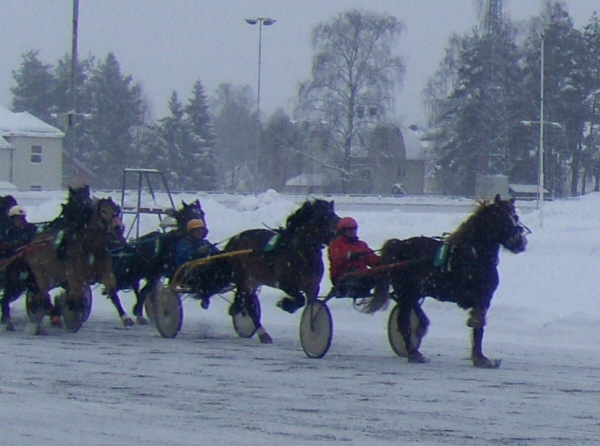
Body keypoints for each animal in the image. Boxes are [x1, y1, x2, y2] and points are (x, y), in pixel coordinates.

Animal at [21, 186, 123, 332]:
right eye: (104, 211)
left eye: (117, 210)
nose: (119, 228)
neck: (90, 246)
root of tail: (33, 241)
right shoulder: (74, 275)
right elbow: (77, 299)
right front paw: (71, 310)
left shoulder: (105, 272)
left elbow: (112, 293)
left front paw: (126, 317)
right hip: (40, 272)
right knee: (43, 294)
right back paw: (51, 314)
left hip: (54, 276)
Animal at [224, 200, 340, 344]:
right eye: (322, 217)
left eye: (334, 214)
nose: (339, 231)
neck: (301, 254)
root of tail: (234, 239)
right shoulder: (284, 284)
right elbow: (300, 299)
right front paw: (285, 304)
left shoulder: (313, 286)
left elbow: (311, 306)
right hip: (244, 279)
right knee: (250, 305)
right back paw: (263, 335)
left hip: (253, 281)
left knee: (244, 299)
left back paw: (237, 309)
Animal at [366, 193, 528, 368]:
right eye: (500, 217)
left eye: (516, 217)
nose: (520, 242)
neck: (471, 255)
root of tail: (401, 244)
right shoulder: (483, 298)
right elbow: (478, 326)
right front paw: (480, 358)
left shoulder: (483, 299)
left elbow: (478, 325)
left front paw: (480, 357)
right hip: (407, 290)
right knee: (403, 322)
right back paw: (414, 353)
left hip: (411, 292)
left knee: (413, 311)